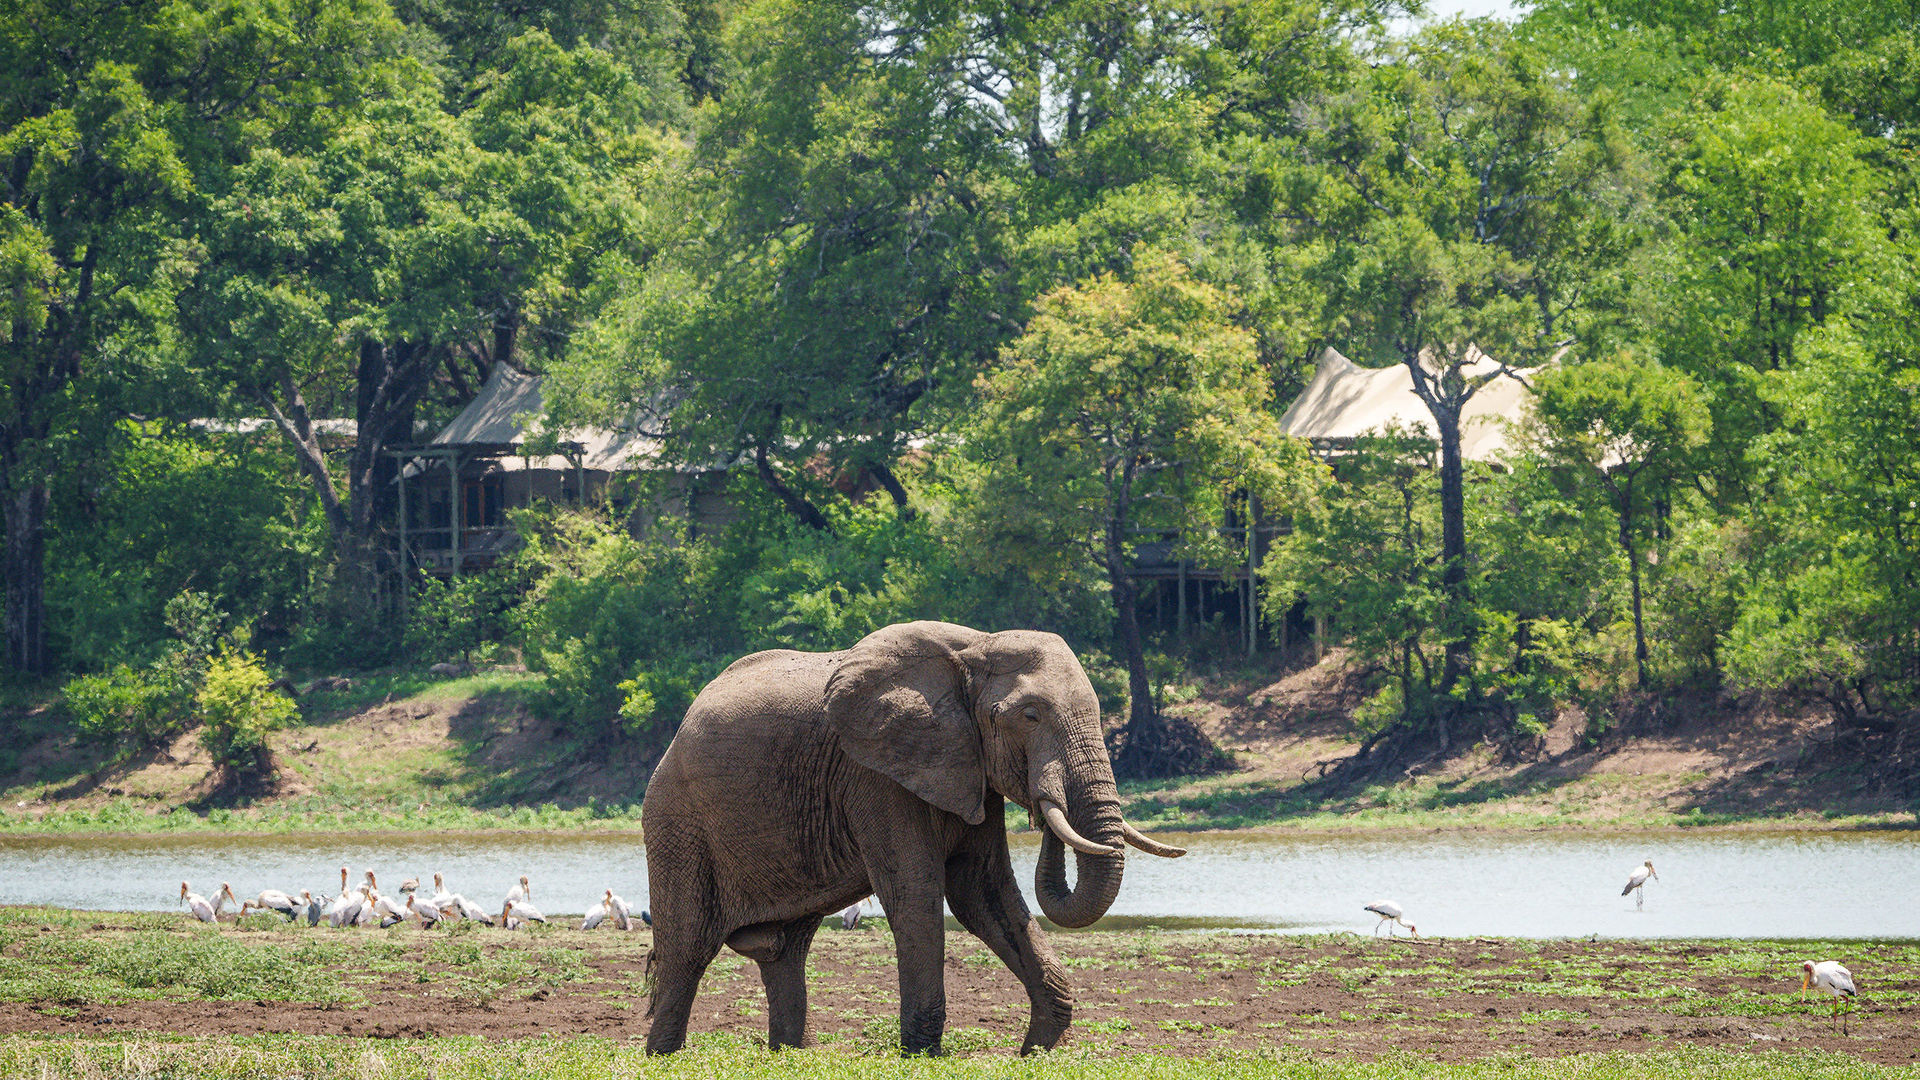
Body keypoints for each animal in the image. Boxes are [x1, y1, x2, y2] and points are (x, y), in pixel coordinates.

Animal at [645, 618, 1182, 1045]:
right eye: (1029, 715)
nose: (1041, 801)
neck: (974, 646)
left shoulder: (966, 768)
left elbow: (983, 892)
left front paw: (1037, 1049)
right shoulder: (877, 775)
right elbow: (917, 892)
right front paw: (922, 1054)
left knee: (784, 953)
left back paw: (787, 1052)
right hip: (677, 823)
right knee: (686, 952)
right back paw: (664, 1054)